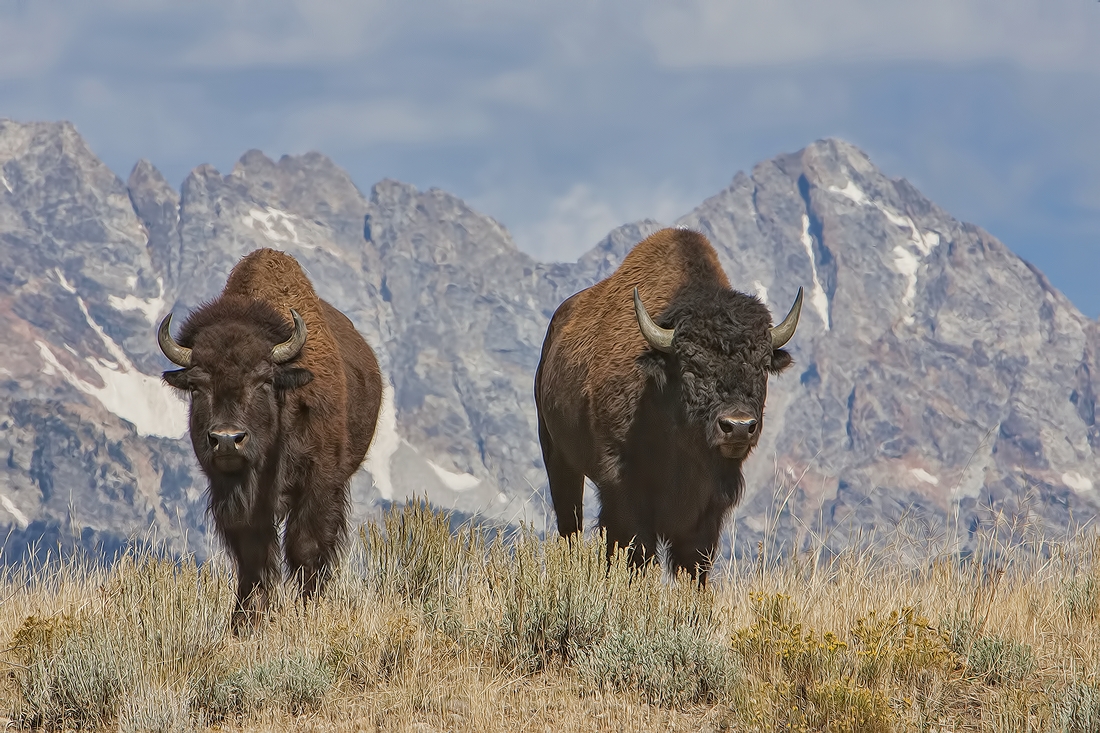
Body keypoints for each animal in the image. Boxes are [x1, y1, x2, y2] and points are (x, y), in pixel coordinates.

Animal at [157, 248, 382, 625]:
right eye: (198, 385)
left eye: (263, 380)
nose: (227, 439)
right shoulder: (233, 495)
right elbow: (253, 555)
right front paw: (245, 621)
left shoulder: (320, 483)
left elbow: (306, 546)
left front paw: (307, 611)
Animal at [532, 225, 800, 581]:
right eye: (690, 366)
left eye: (762, 365)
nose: (739, 426)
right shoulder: (623, 486)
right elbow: (634, 550)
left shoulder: (711, 503)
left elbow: (694, 562)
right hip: (558, 457)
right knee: (569, 523)